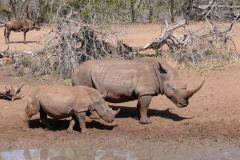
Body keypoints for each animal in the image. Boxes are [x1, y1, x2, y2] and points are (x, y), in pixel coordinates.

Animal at [71, 57, 204, 124]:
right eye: (173, 88)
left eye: (185, 87)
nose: (184, 104)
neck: (162, 75)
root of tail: (75, 70)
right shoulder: (146, 91)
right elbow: (145, 106)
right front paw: (146, 122)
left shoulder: (142, 92)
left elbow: (139, 105)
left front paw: (137, 117)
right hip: (83, 75)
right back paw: (95, 118)